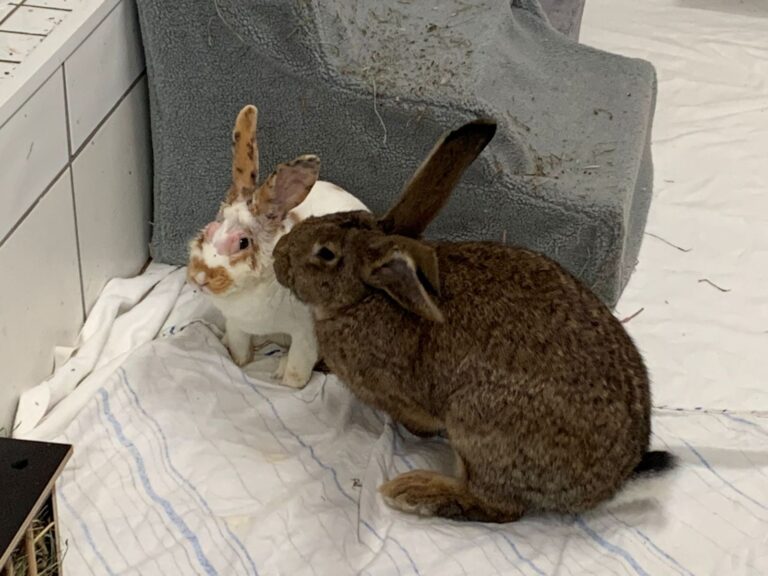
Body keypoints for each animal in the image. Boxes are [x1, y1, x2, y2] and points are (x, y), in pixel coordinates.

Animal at [187, 104, 369, 388]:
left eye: (243, 242)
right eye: (210, 229)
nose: (199, 276)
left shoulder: (306, 334)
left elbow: (298, 368)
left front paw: (287, 385)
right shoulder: (236, 324)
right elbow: (239, 348)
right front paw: (239, 361)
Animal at [271, 118, 674, 522]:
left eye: (325, 253)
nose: (277, 257)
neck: (366, 298)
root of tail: (613, 482)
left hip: (476, 421)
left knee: (499, 507)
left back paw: (415, 492)